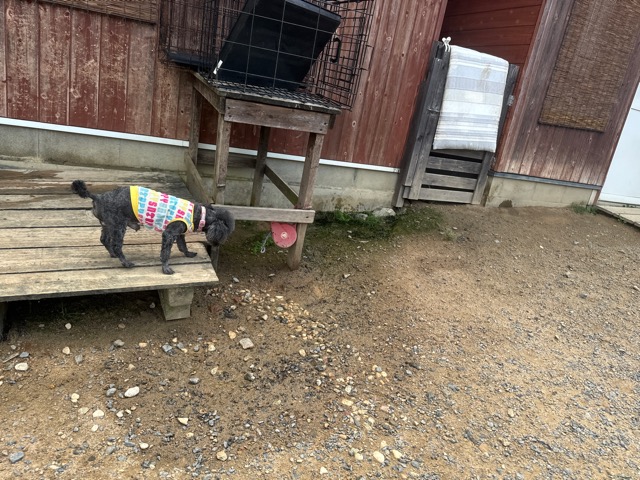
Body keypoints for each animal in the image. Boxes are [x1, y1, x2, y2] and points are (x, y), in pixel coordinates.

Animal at [71, 180, 235, 275]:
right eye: (226, 233)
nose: (219, 244)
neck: (199, 214)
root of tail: (98, 197)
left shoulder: (179, 233)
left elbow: (183, 246)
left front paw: (188, 254)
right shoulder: (169, 234)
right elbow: (166, 253)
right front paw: (166, 268)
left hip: (107, 224)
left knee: (104, 240)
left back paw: (113, 255)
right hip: (118, 226)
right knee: (117, 246)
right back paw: (126, 262)